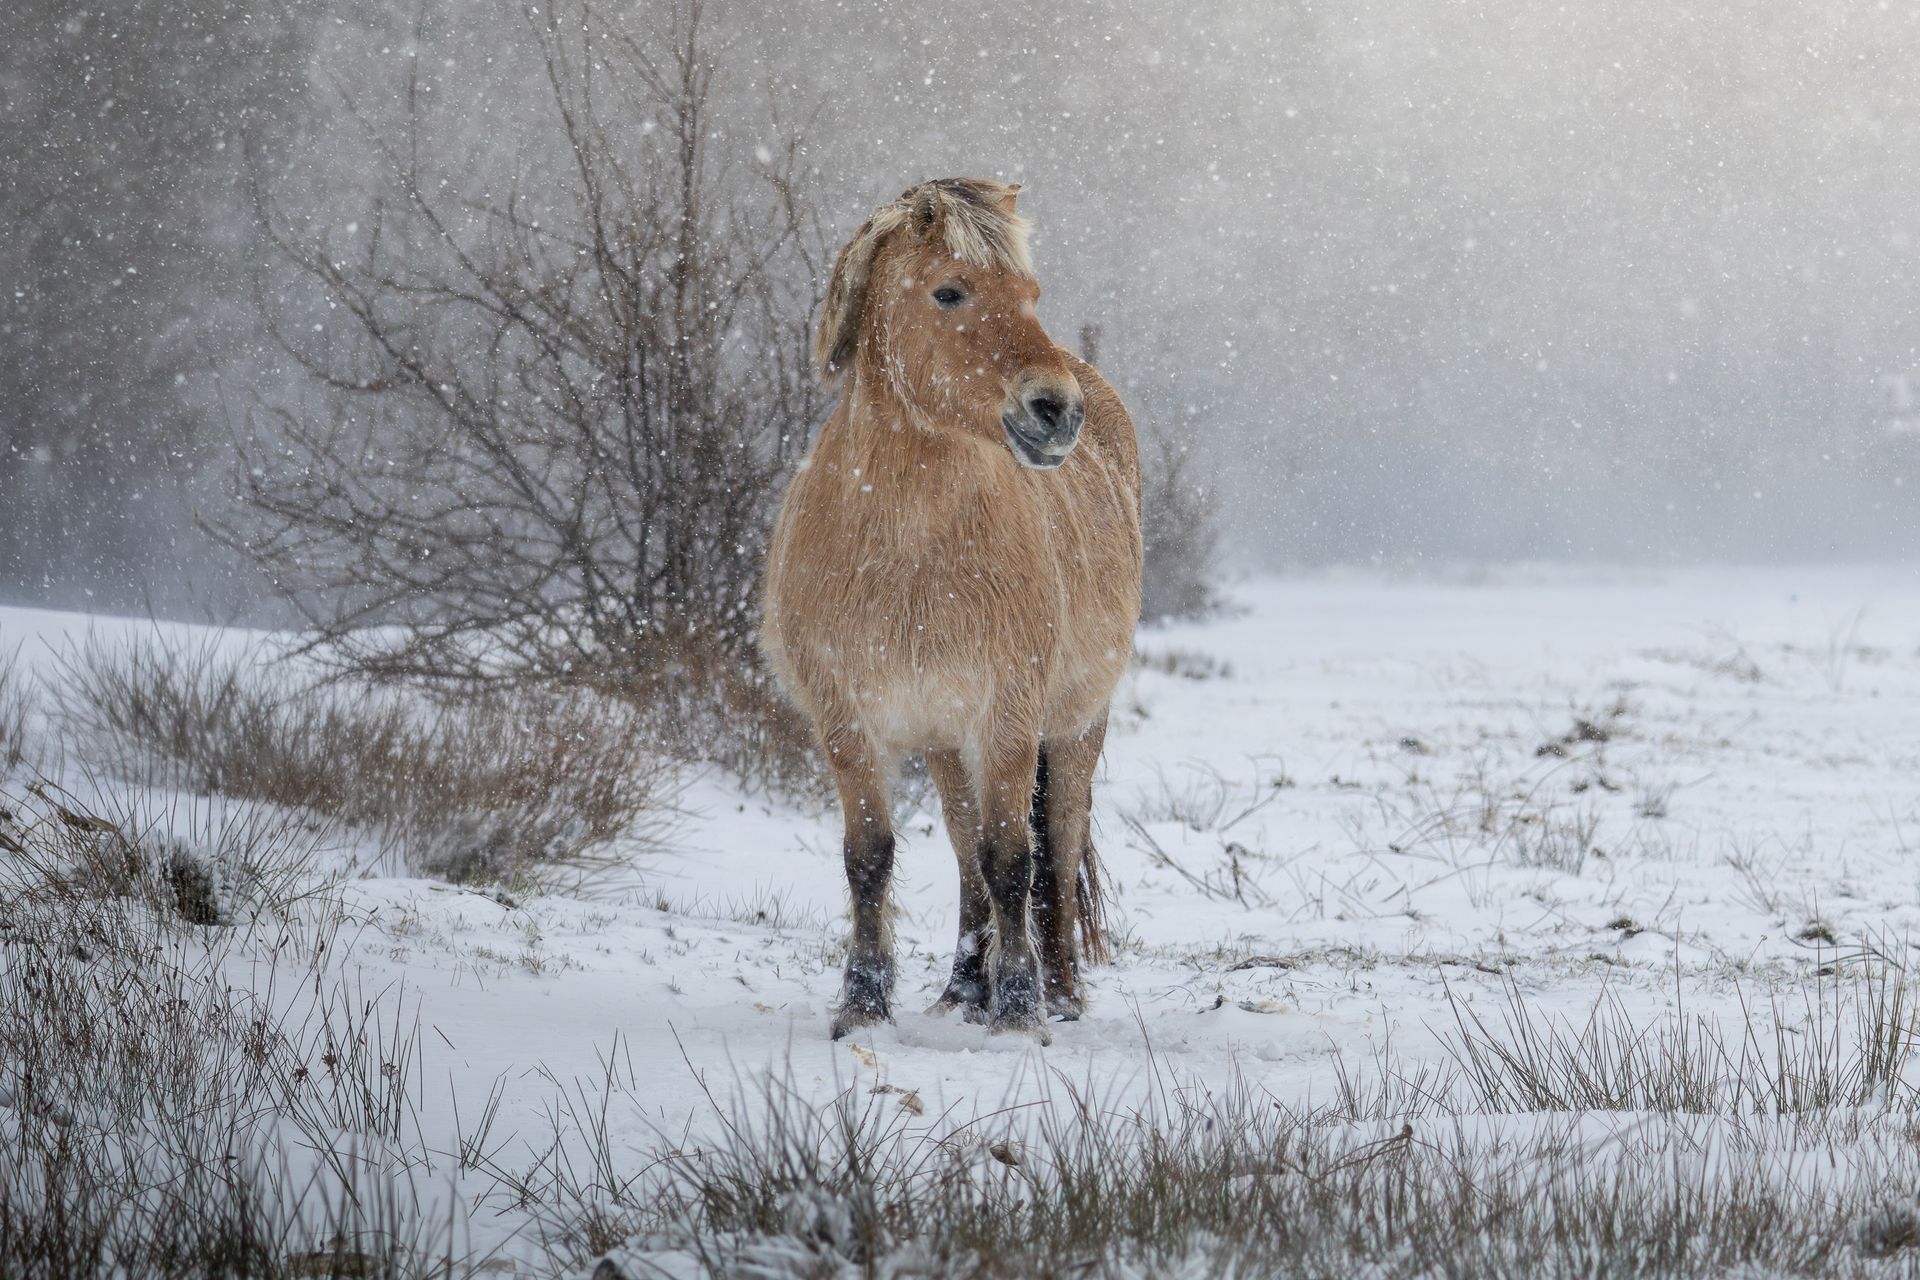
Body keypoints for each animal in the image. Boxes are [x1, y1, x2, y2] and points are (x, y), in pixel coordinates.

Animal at [760, 177, 1143, 1042]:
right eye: (949, 291)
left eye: (1031, 292)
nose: (1055, 411)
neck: (909, 550)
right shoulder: (850, 722)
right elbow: (871, 857)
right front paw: (862, 1005)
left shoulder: (1008, 719)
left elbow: (1014, 858)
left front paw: (1020, 1012)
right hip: (945, 743)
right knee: (967, 855)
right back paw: (962, 991)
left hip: (1074, 730)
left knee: (1054, 849)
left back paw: (1059, 993)